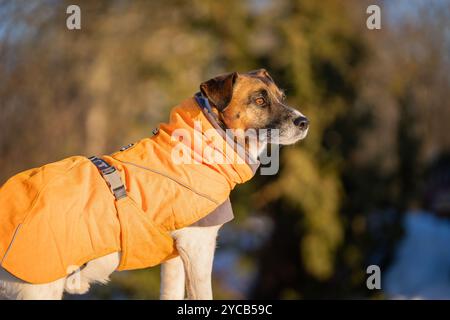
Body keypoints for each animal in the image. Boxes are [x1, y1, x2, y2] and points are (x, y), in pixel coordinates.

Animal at [0, 69, 308, 298]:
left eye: (281, 96)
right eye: (259, 100)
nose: (304, 122)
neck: (199, 145)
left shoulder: (173, 258)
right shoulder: (197, 247)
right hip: (38, 288)